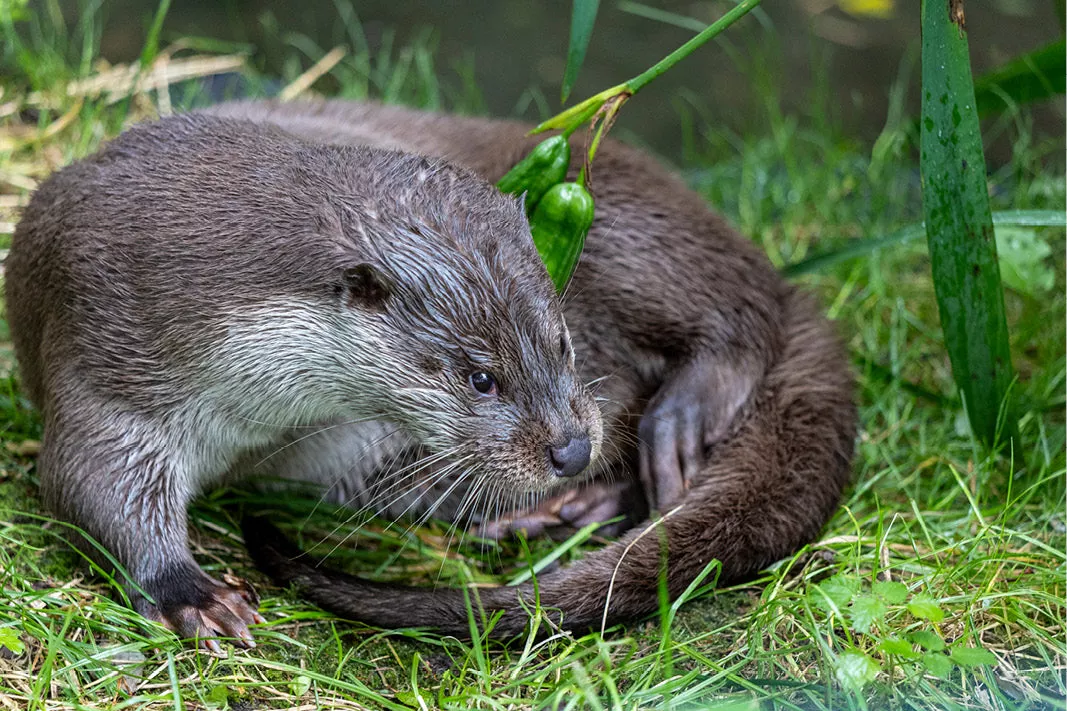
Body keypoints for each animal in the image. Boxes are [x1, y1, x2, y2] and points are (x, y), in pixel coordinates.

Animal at [5, 113, 605, 650]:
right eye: (481, 378)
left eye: (562, 343)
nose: (573, 450)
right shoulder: (113, 363)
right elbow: (88, 483)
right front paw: (193, 596)